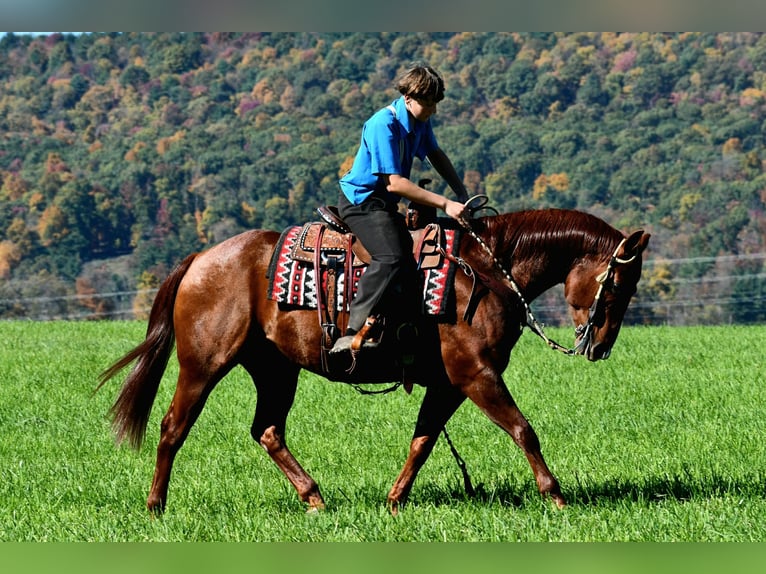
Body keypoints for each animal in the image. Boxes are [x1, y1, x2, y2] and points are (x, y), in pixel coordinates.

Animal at [97, 206, 650, 514]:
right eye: (619, 284)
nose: (600, 346)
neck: (485, 270)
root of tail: (201, 259)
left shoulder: (448, 384)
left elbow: (423, 442)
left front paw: (395, 501)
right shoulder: (476, 374)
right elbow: (523, 430)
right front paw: (555, 496)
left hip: (276, 368)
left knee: (268, 430)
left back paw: (314, 499)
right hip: (204, 364)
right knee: (173, 427)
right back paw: (156, 506)